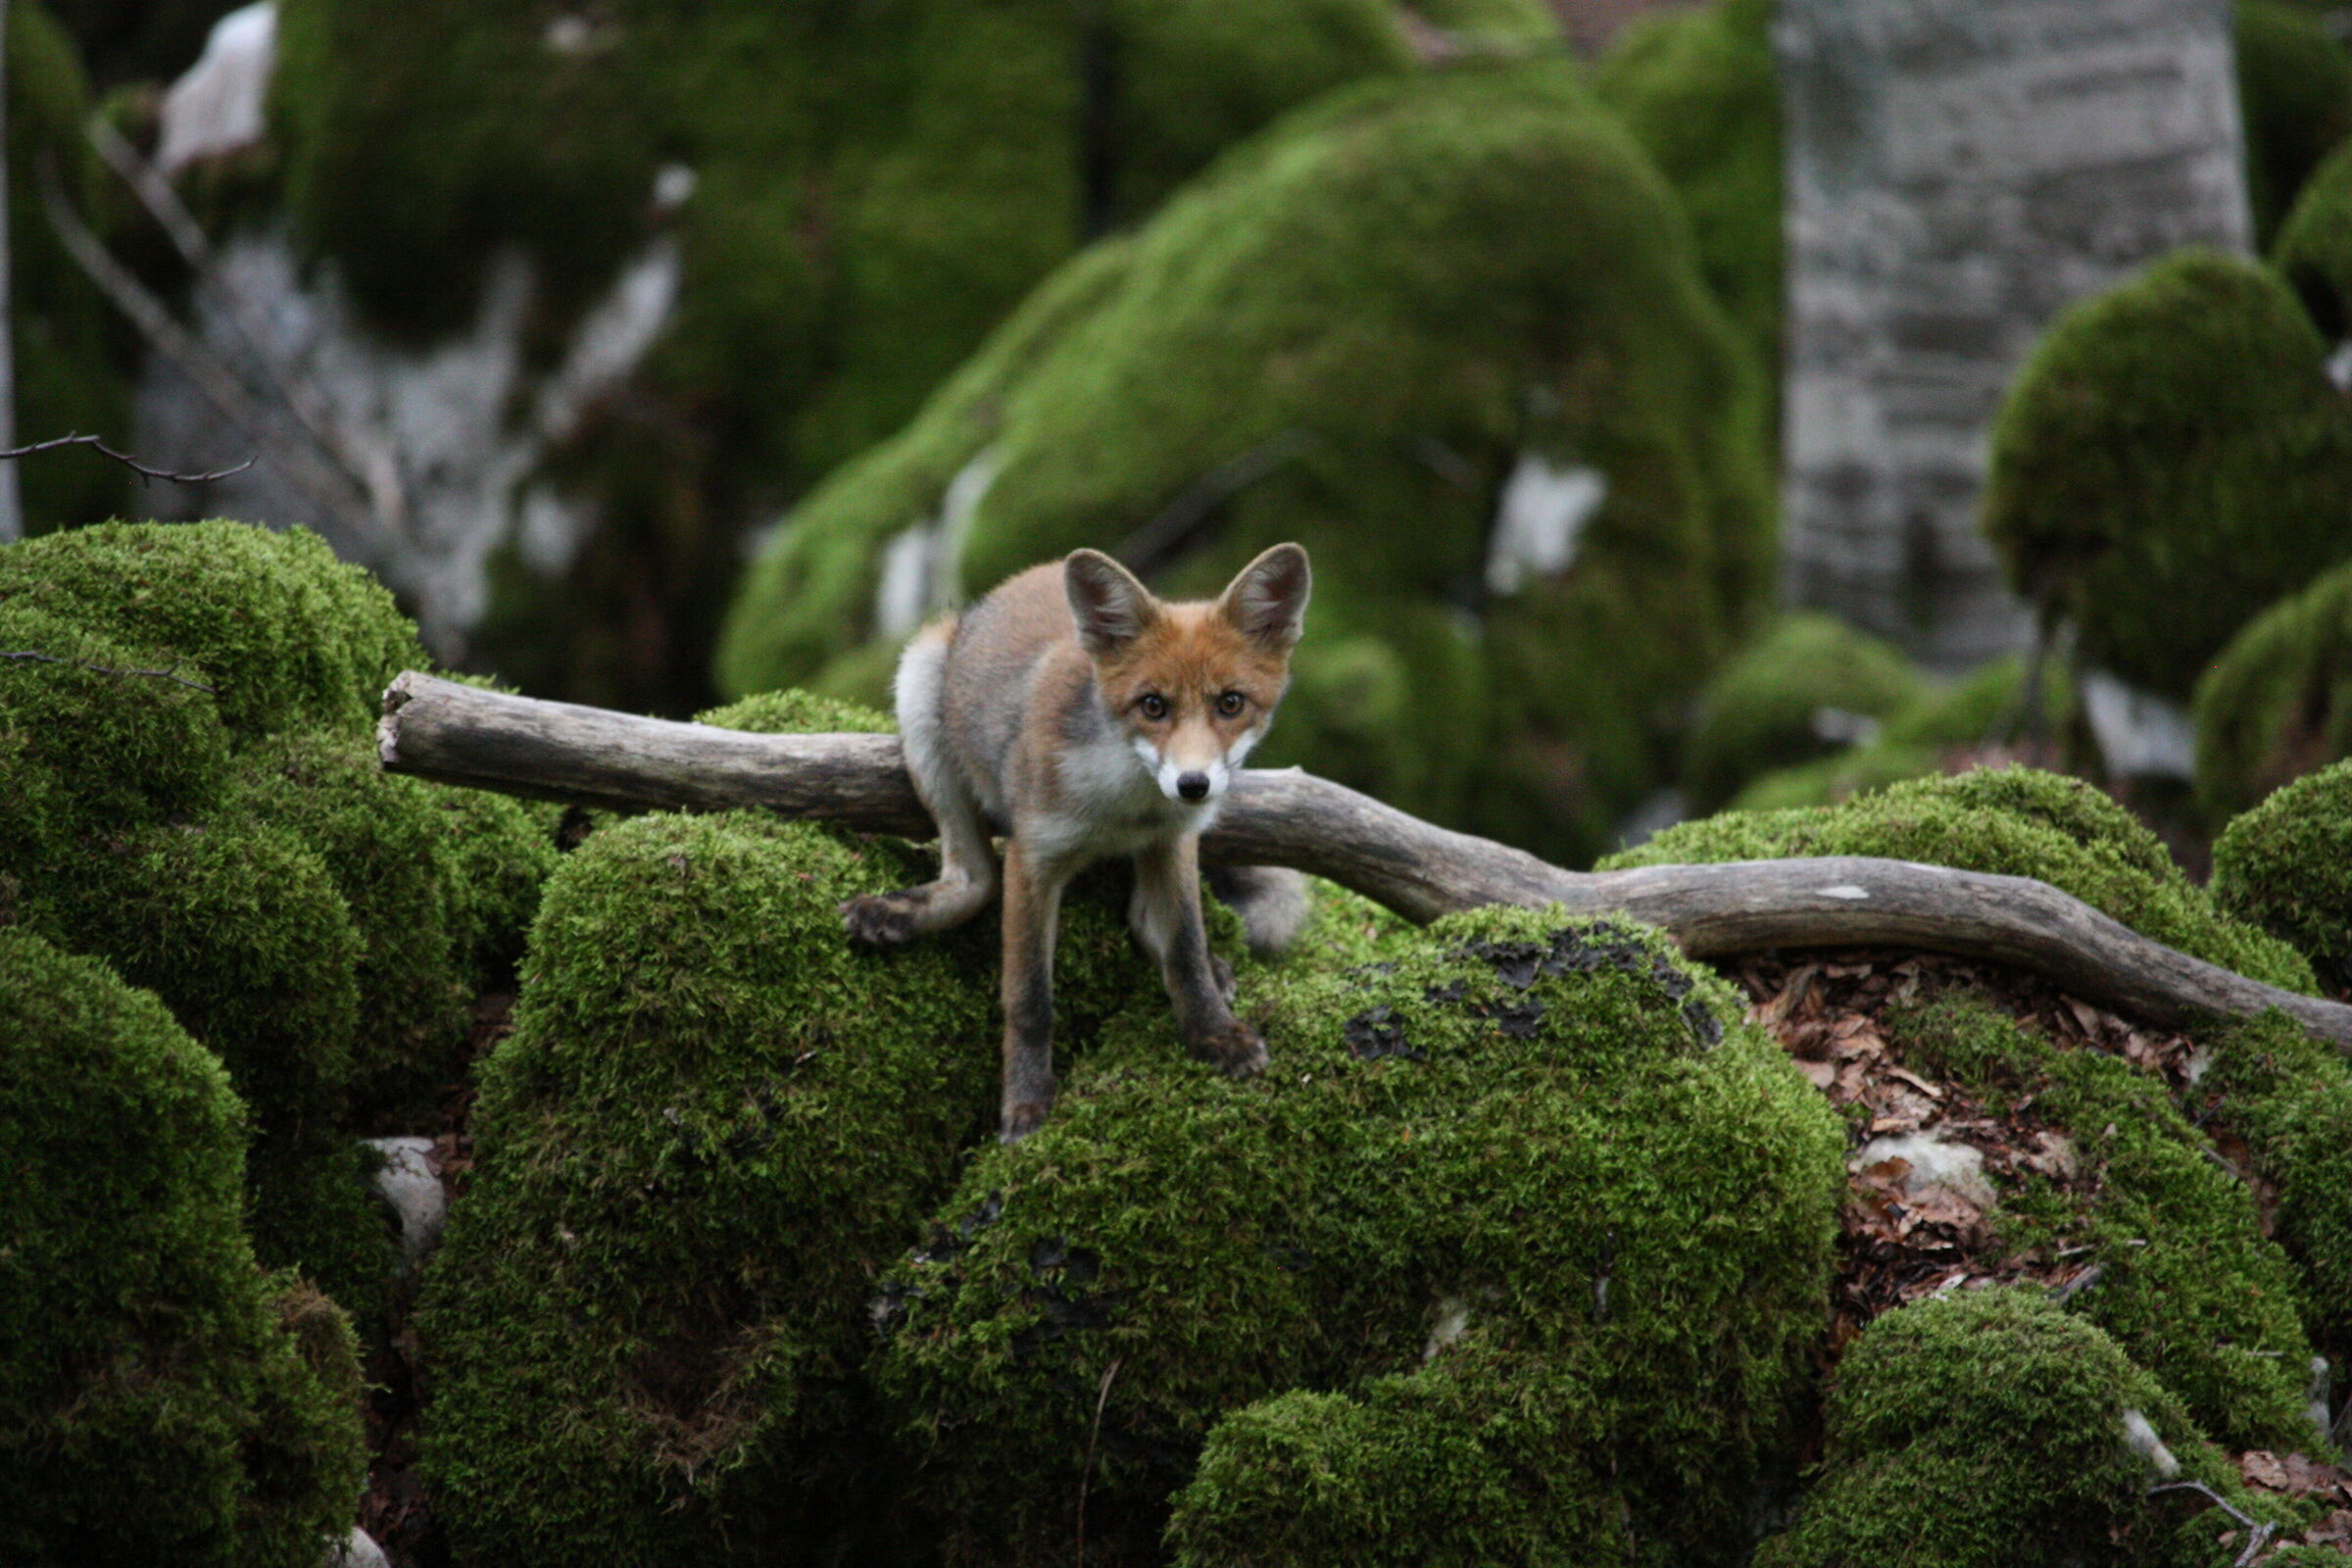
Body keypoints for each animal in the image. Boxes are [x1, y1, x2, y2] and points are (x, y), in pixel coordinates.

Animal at [842, 543, 1313, 1142]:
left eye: (1231, 703)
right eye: (1152, 706)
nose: (1193, 785)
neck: (1122, 810)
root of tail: (1030, 573)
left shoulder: (1172, 839)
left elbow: (1185, 950)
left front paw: (1214, 1034)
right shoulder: (1033, 857)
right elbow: (1029, 999)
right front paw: (1025, 1102)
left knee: (1144, 920)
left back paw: (1215, 966)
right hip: (922, 693)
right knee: (974, 881)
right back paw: (896, 912)